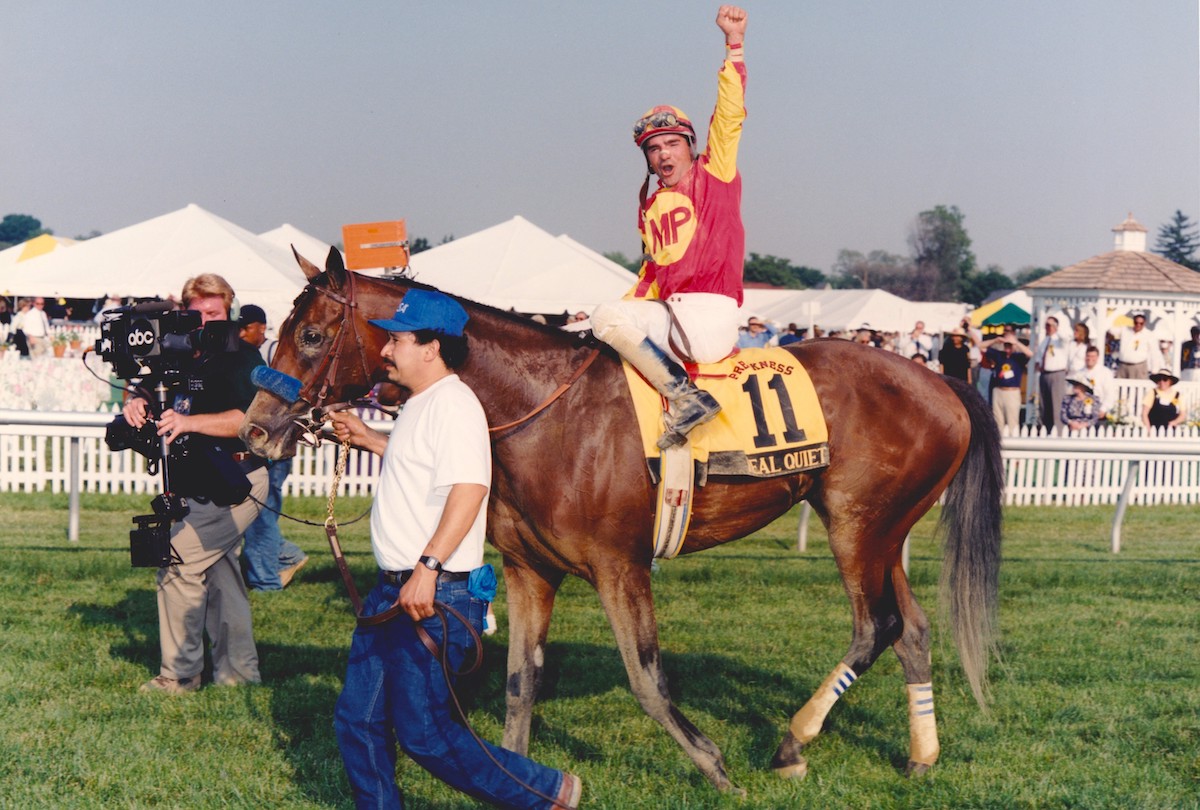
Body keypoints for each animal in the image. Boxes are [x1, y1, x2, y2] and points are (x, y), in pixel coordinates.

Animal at [236, 248, 1003, 792]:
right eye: (276, 332)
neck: (542, 408)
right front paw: (518, 774)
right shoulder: (529, 570)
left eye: (312, 333)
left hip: (856, 526)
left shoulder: (619, 565)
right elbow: (520, 682)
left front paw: (713, 764)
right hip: (884, 533)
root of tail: (941, 380)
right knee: (912, 629)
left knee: (876, 626)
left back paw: (792, 743)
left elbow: (647, 679)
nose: (255, 432)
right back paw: (922, 754)